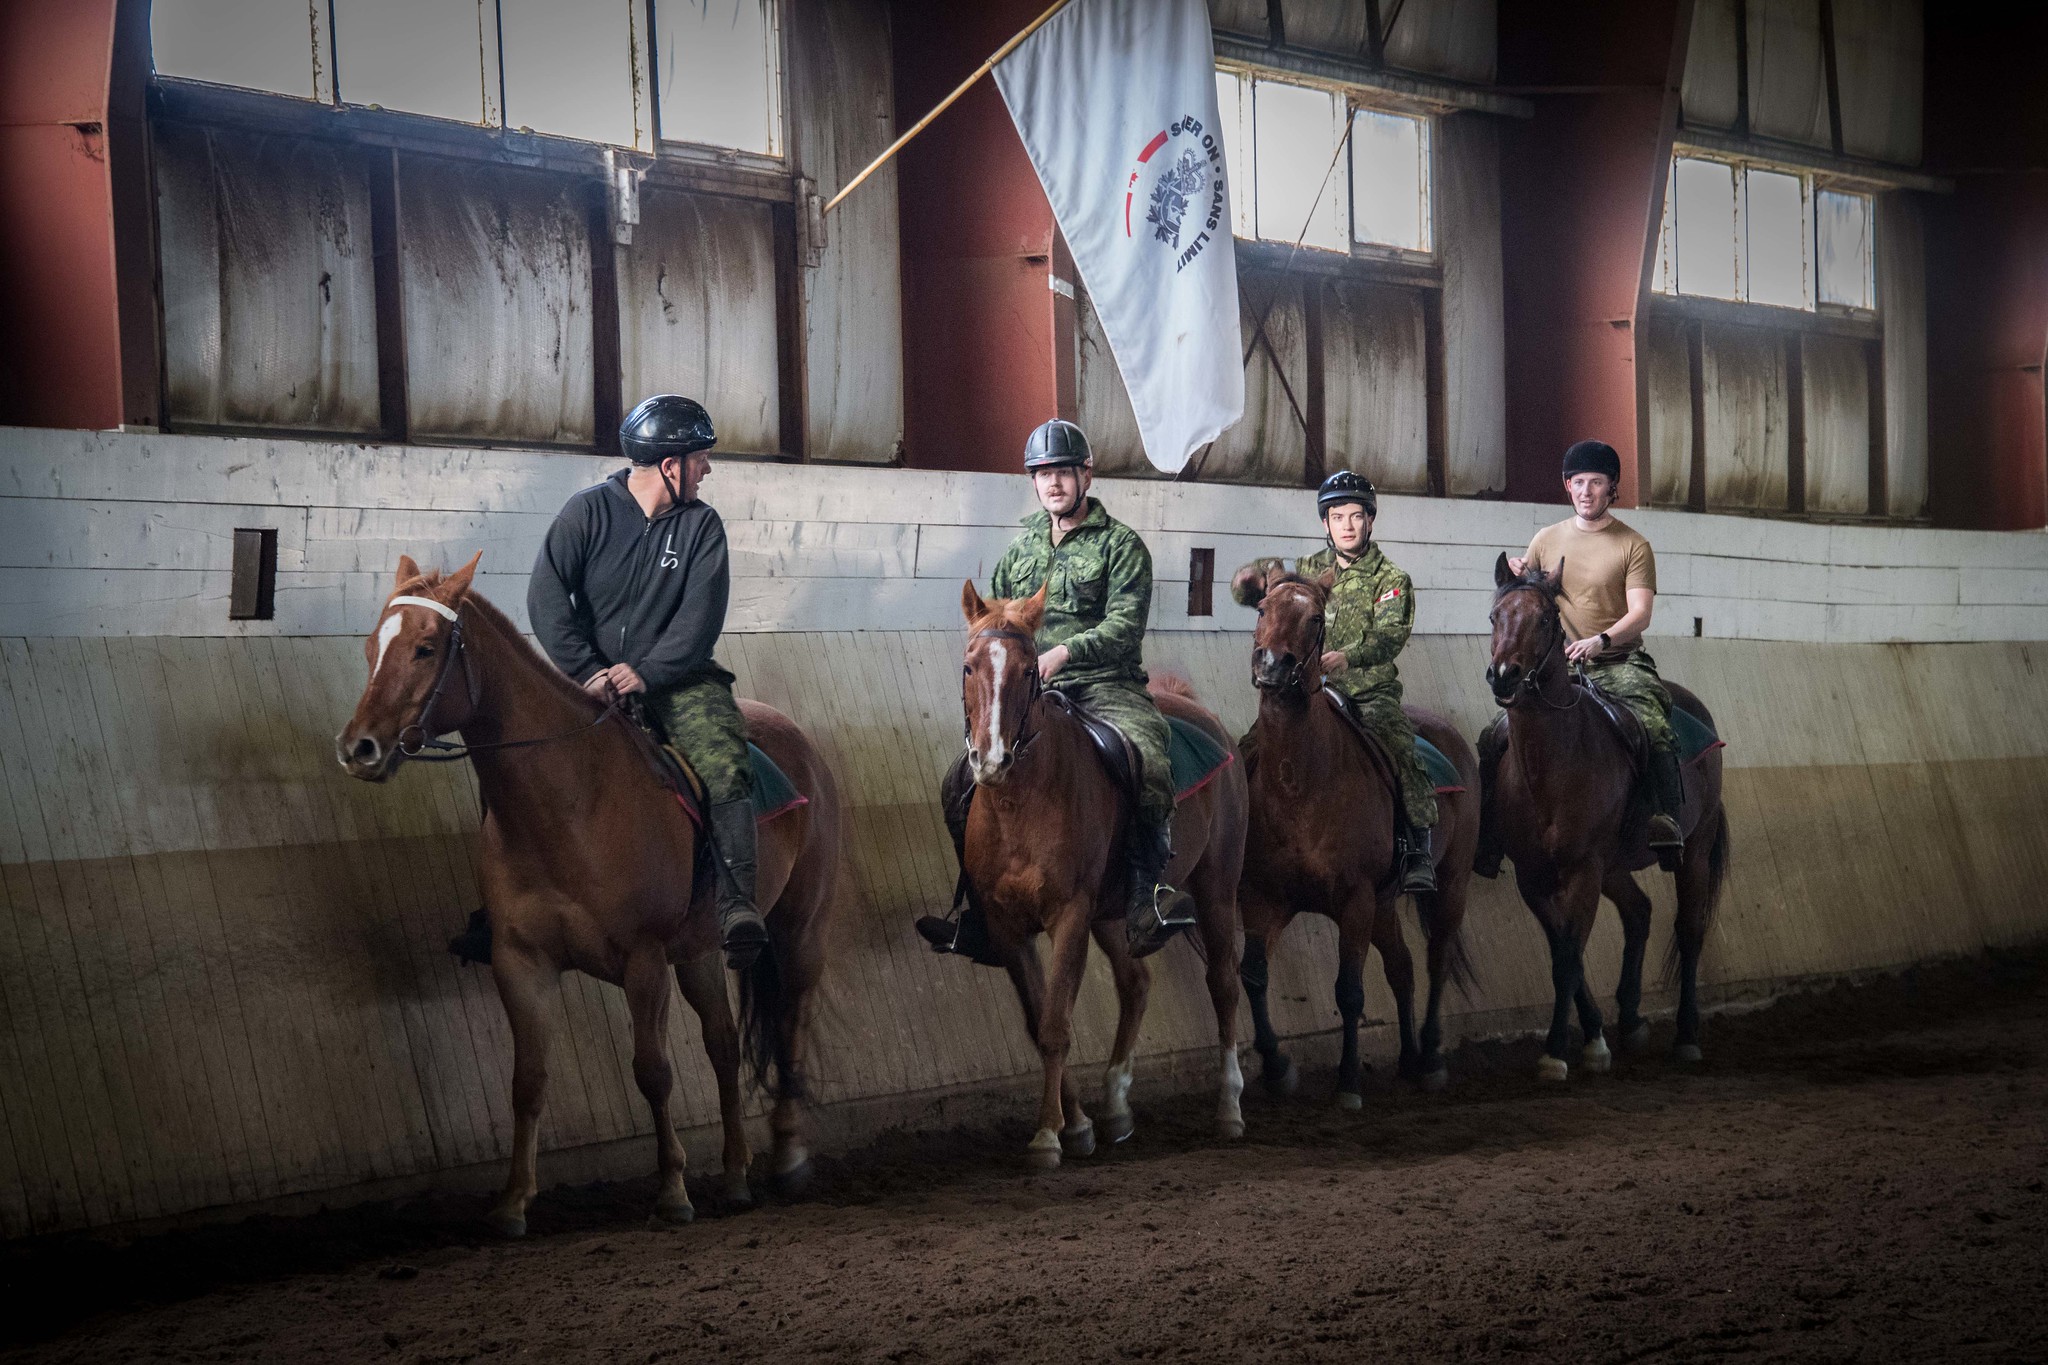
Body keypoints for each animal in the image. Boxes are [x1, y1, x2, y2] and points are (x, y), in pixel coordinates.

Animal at [335, 556, 839, 1236]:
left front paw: (671, 1192)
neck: (570, 801)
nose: (358, 748)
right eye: (371, 648)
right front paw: (512, 1203)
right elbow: (528, 1079)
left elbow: (652, 1072)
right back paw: (735, 1177)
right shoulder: (520, 963)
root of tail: (797, 742)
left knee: (788, 1024)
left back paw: (786, 1157)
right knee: (724, 1045)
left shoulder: (643, 961)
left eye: (426, 647)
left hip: (798, 930)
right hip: (700, 953)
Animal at [954, 581, 1245, 1170]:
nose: (991, 760)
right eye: (970, 667)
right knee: (1136, 983)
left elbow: (1056, 1025)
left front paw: (1047, 1136)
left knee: (1223, 983)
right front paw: (1079, 1124)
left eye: (1029, 671)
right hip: (1112, 914)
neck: (1020, 803)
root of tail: (1201, 713)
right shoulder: (1005, 926)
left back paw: (1229, 1108)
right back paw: (1114, 1107)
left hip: (1217, 887)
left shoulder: (1068, 916)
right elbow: (1038, 1020)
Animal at [1228, 568, 1474, 1113]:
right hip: (1384, 905)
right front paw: (1277, 1068)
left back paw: (1430, 1058)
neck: (1300, 782)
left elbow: (1349, 992)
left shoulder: (1355, 901)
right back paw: (1408, 1060)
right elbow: (1253, 974)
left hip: (1449, 884)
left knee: (1437, 958)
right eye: (1262, 609)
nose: (1273, 666)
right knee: (1403, 968)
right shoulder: (1264, 899)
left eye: (1316, 619)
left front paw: (1347, 1082)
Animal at [1490, 556, 1728, 1080]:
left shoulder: (1583, 870)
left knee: (1689, 930)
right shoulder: (1533, 877)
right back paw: (1632, 1020)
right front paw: (1594, 1038)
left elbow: (1569, 957)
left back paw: (1686, 1036)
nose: (1504, 676)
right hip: (1615, 867)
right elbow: (1564, 951)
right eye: (1496, 615)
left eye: (1544, 619)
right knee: (1639, 913)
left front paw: (1555, 1052)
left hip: (1694, 851)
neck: (1552, 762)